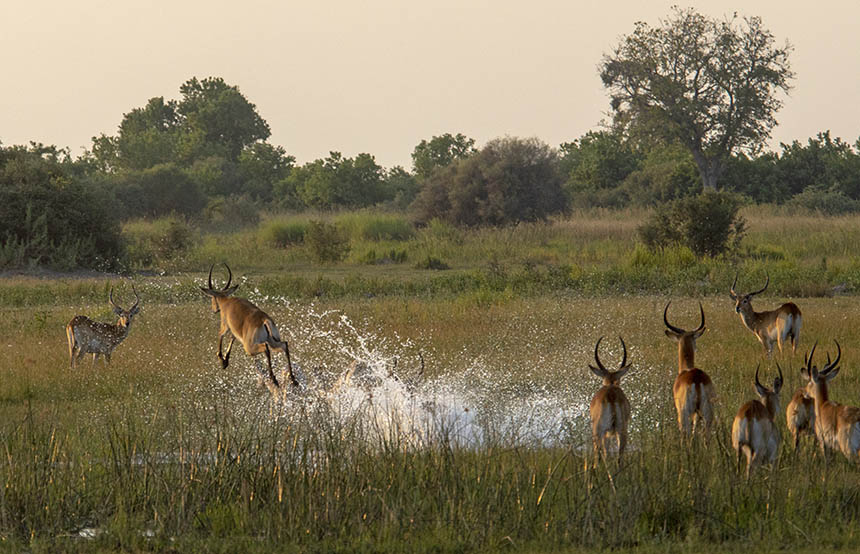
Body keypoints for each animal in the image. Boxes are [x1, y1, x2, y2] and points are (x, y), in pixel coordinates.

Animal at [201, 264, 300, 392]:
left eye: (212, 297)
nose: (214, 309)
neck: (226, 302)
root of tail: (264, 320)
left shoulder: (226, 326)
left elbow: (220, 335)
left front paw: (223, 361)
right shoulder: (235, 331)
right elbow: (232, 338)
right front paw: (226, 360)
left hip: (250, 347)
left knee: (265, 348)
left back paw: (274, 380)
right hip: (273, 342)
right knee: (285, 345)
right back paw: (293, 380)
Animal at [660, 300, 716, 438]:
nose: (696, 348)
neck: (686, 369)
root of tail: (697, 380)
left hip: (684, 414)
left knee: (686, 434)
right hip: (706, 414)